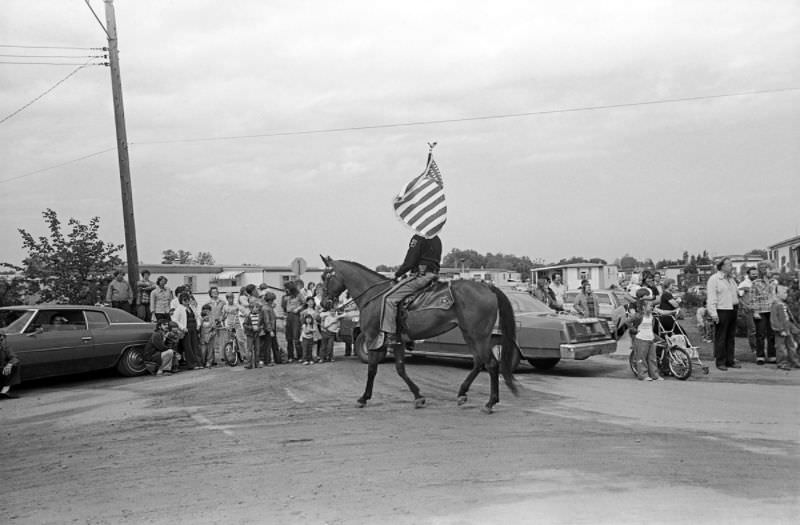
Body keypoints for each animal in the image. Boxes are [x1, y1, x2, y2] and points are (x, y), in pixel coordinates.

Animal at [318, 255, 520, 414]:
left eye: (325, 277)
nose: (324, 304)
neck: (374, 296)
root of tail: (488, 288)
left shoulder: (373, 337)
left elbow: (372, 369)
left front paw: (364, 397)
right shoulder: (397, 341)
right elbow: (400, 369)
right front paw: (418, 396)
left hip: (479, 336)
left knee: (491, 364)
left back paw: (490, 402)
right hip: (470, 334)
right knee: (479, 362)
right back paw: (463, 393)